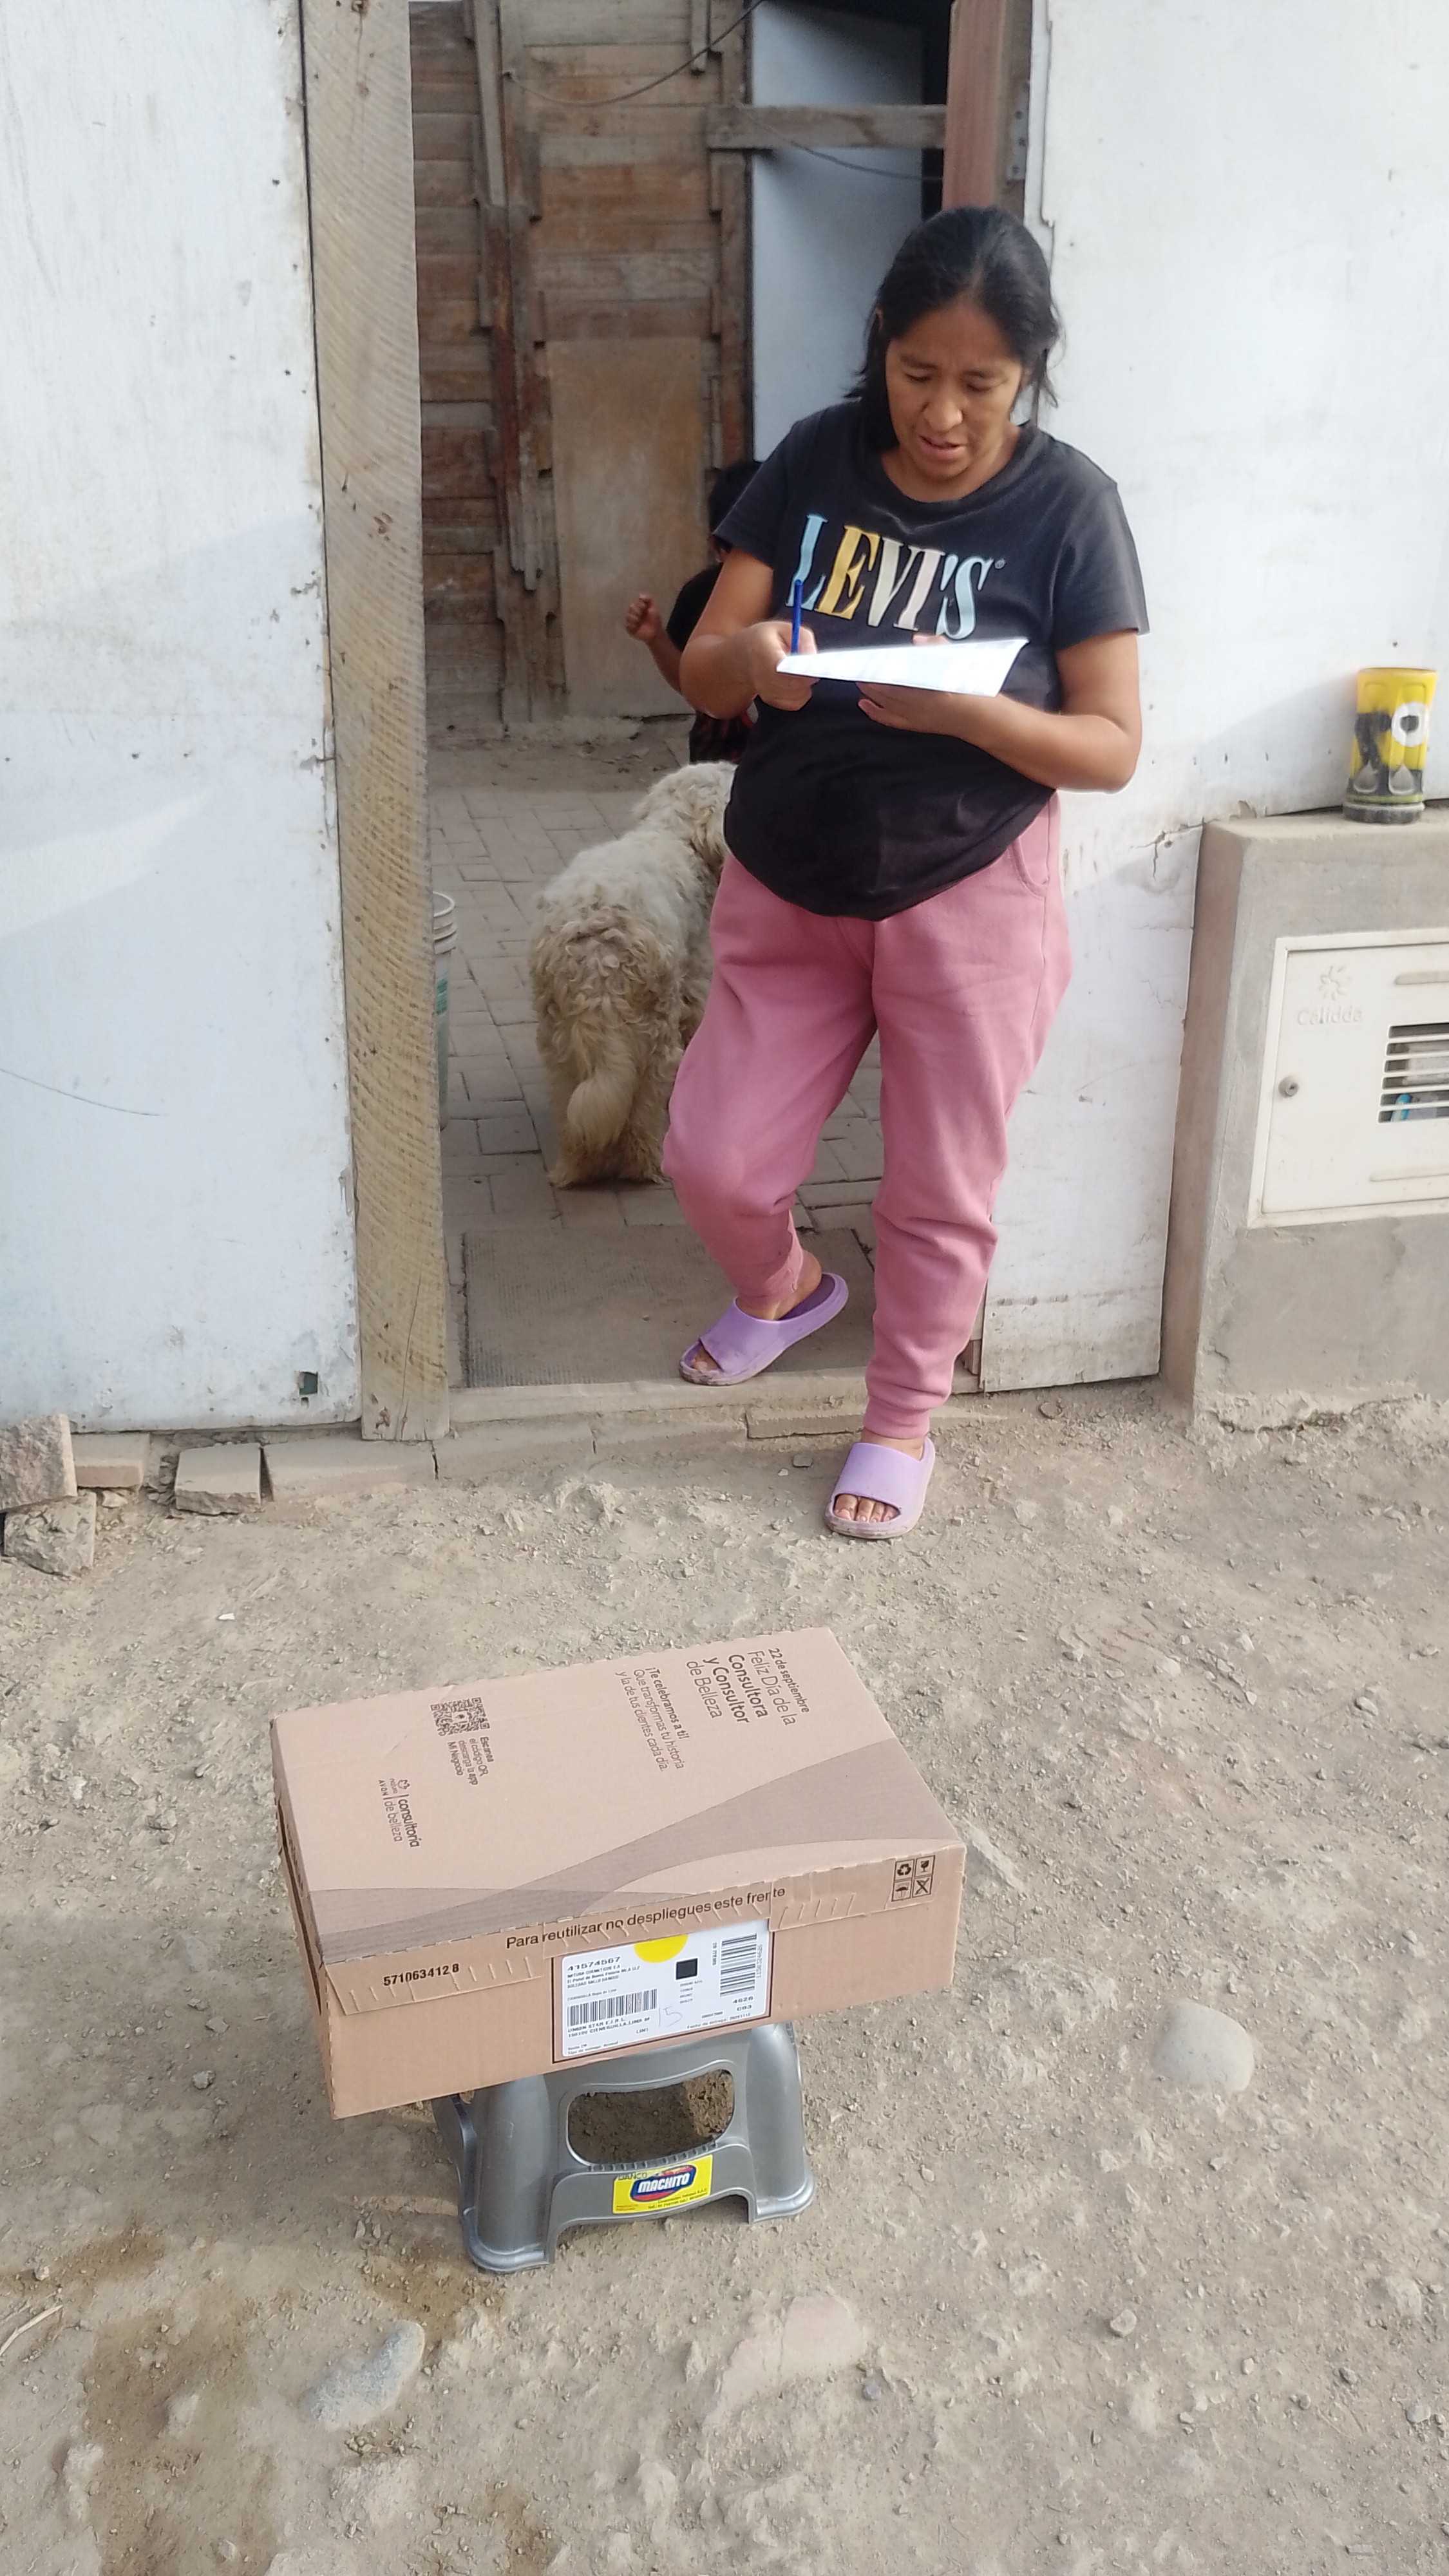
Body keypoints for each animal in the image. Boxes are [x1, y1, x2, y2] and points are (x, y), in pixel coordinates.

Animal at [528, 763, 733, 1186]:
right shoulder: (693, 989)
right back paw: (645, 1164)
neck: (675, 836)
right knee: (644, 1105)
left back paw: (576, 1165)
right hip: (656, 1029)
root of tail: (597, 945)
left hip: (557, 1038)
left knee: (571, 1105)